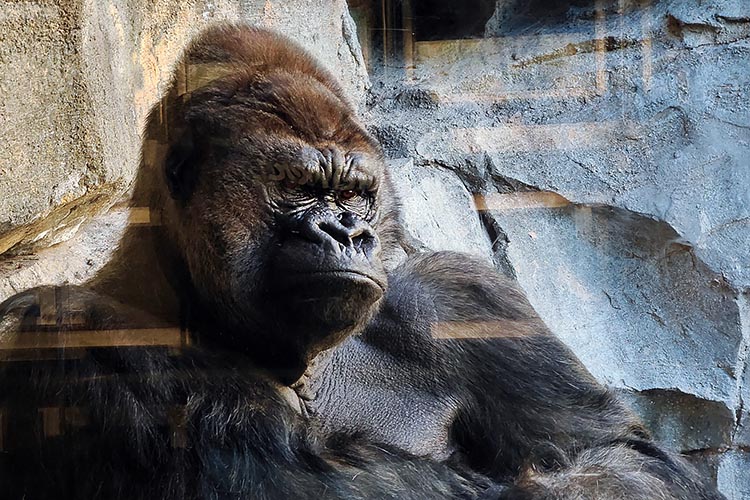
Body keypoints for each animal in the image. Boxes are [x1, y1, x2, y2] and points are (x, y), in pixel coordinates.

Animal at [0, 23, 724, 499]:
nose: (347, 231)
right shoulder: (64, 330)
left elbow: (619, 455)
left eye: (354, 194)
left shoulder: (460, 297)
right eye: (296, 186)